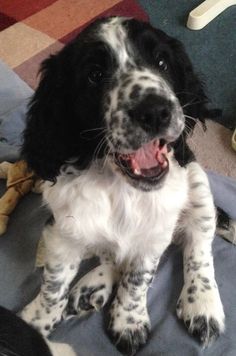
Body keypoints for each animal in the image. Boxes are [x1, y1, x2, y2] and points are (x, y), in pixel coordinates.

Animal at [19, 16, 232, 356]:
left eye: (162, 62)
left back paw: (202, 303)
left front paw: (128, 321)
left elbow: (138, 279)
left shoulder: (154, 235)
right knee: (109, 254)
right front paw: (36, 324)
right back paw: (92, 287)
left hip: (197, 181)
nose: (155, 111)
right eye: (94, 75)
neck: (118, 187)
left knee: (199, 246)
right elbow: (54, 283)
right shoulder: (62, 230)